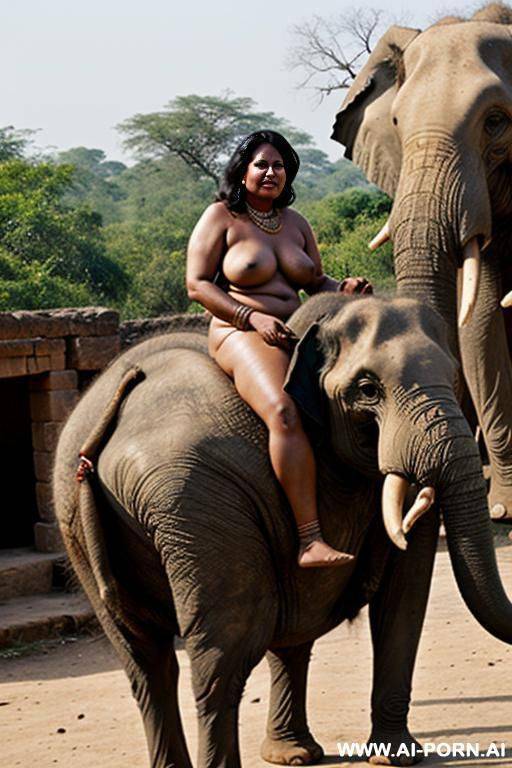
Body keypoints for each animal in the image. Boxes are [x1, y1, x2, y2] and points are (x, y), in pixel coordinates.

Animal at [54, 293, 512, 768]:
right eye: (368, 390)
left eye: (453, 376)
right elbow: (399, 591)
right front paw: (394, 758)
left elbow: (315, 611)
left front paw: (296, 755)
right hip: (195, 502)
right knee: (226, 652)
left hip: (78, 514)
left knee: (147, 662)